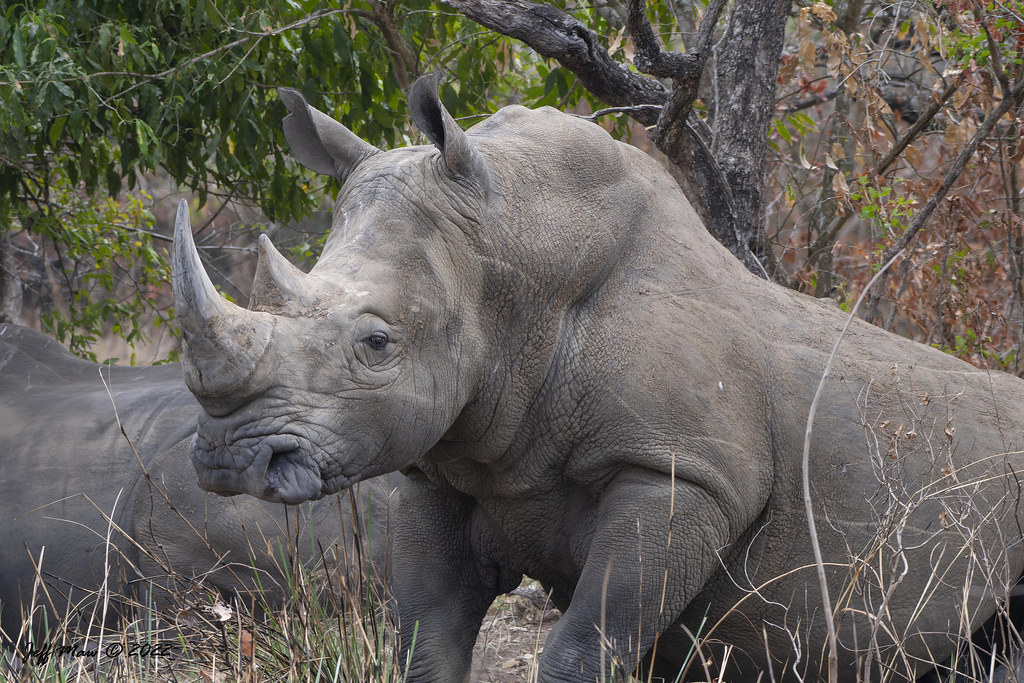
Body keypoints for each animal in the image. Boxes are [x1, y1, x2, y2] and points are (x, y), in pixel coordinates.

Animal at [170, 73, 1024, 682]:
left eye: (378, 343)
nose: (227, 459)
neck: (513, 264)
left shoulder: (683, 472)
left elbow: (588, 644)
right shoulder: (444, 470)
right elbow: (426, 642)